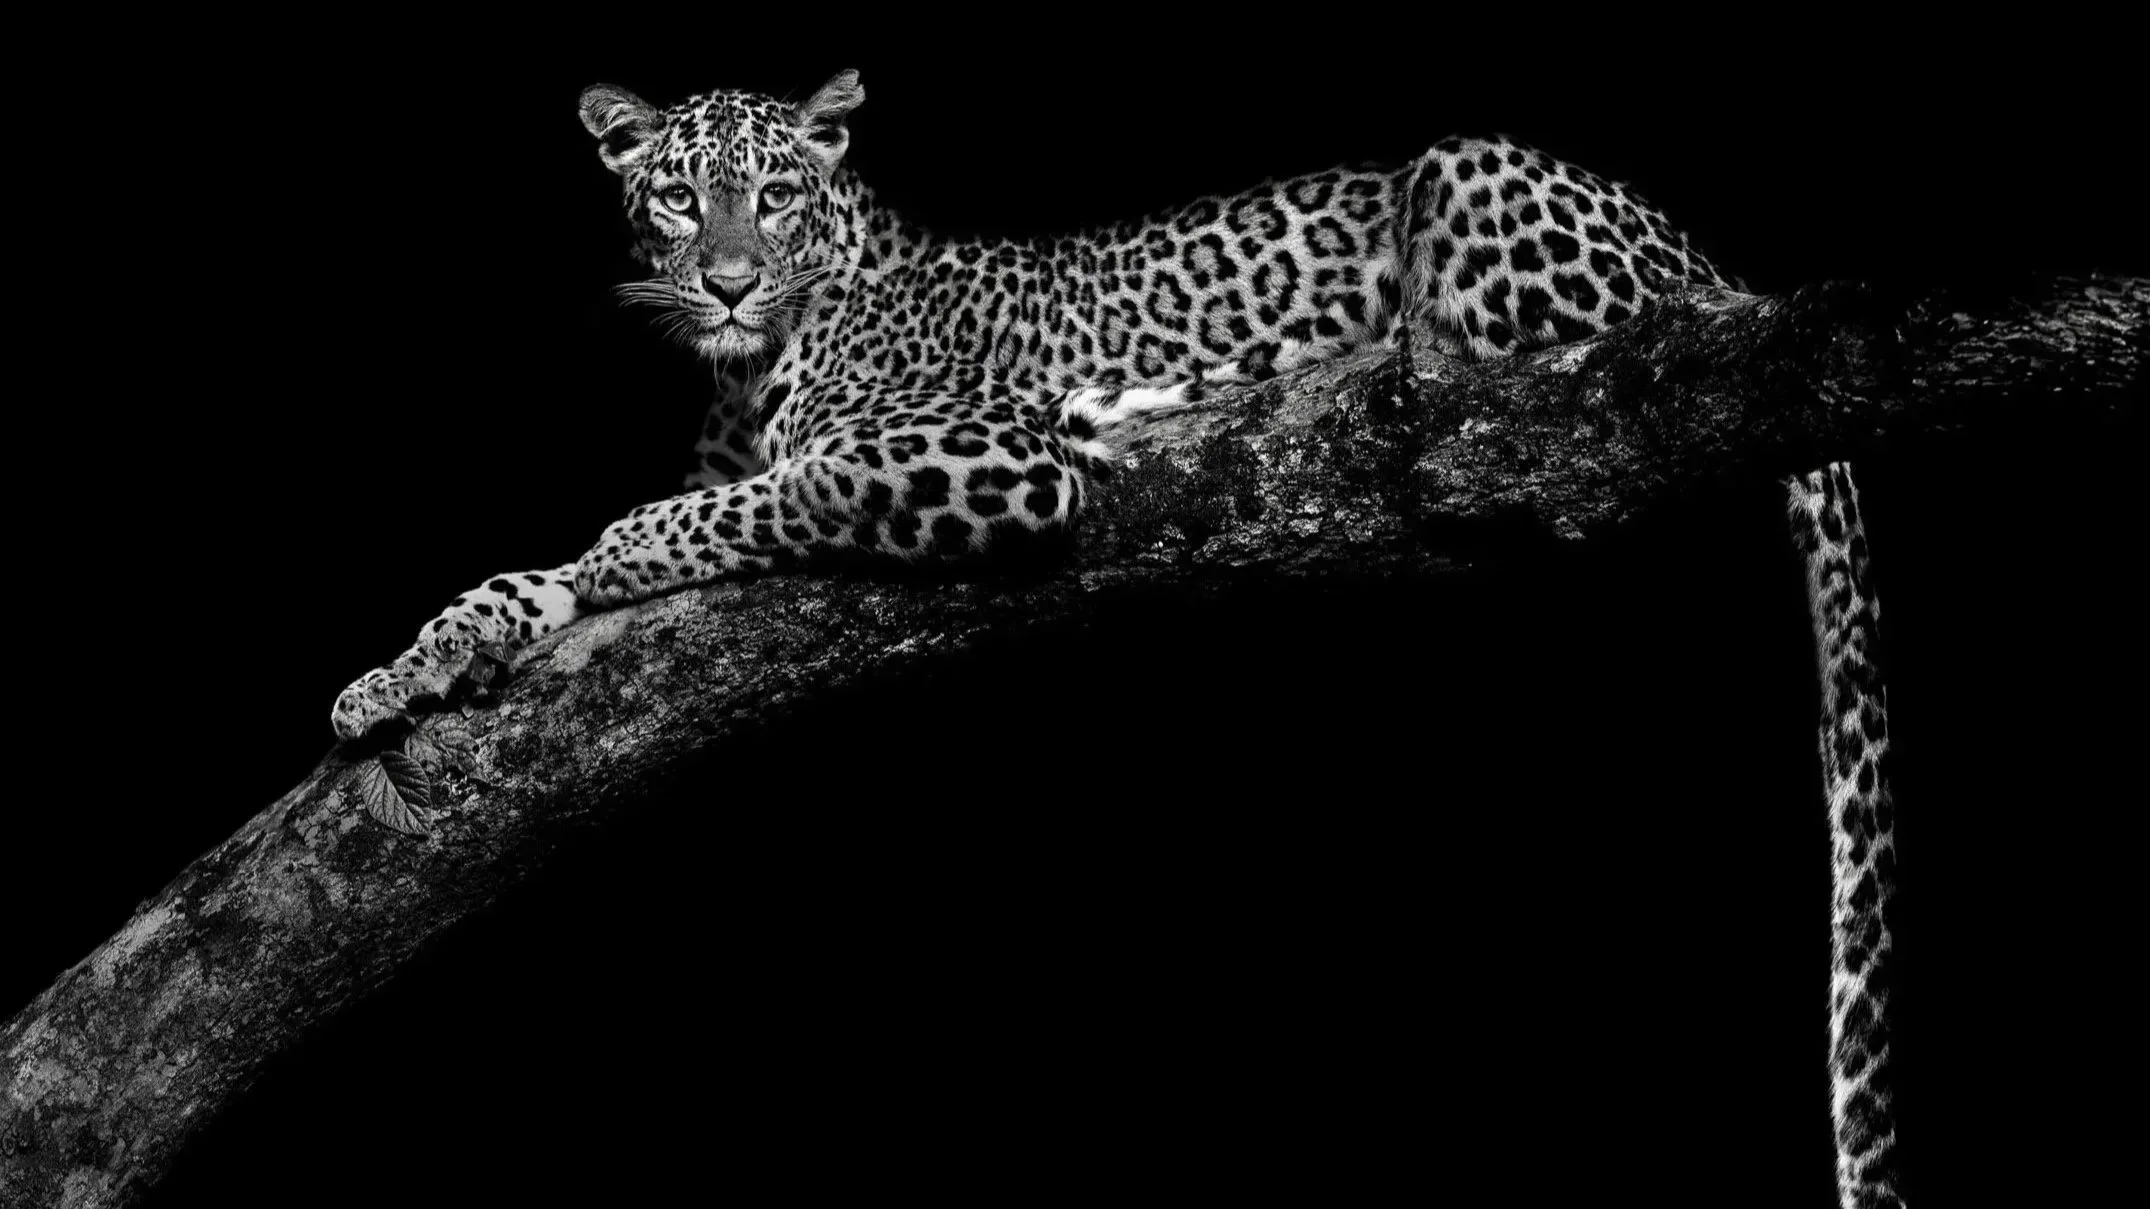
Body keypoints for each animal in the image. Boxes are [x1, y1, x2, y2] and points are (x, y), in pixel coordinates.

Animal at [329, 71, 1901, 1206]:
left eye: (773, 195)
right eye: (674, 196)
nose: (723, 280)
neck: (759, 355)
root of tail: (1723, 268)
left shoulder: (980, 457)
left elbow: (722, 503)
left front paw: (615, 548)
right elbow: (528, 578)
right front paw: (402, 670)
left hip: (1468, 175)